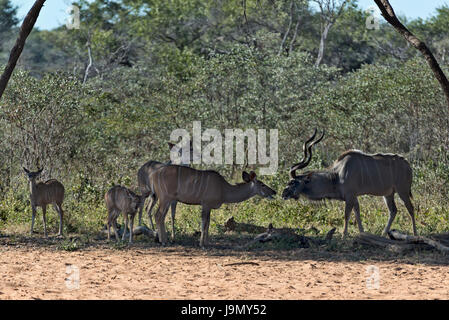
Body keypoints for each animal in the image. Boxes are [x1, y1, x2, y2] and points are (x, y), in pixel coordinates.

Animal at [280, 130, 416, 238]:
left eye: (293, 182)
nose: (283, 194)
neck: (337, 175)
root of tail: (408, 165)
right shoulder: (354, 197)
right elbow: (357, 213)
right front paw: (362, 233)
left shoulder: (350, 196)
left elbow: (346, 215)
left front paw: (344, 235)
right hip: (388, 194)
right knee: (393, 210)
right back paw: (384, 233)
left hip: (402, 191)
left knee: (410, 208)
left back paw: (415, 233)